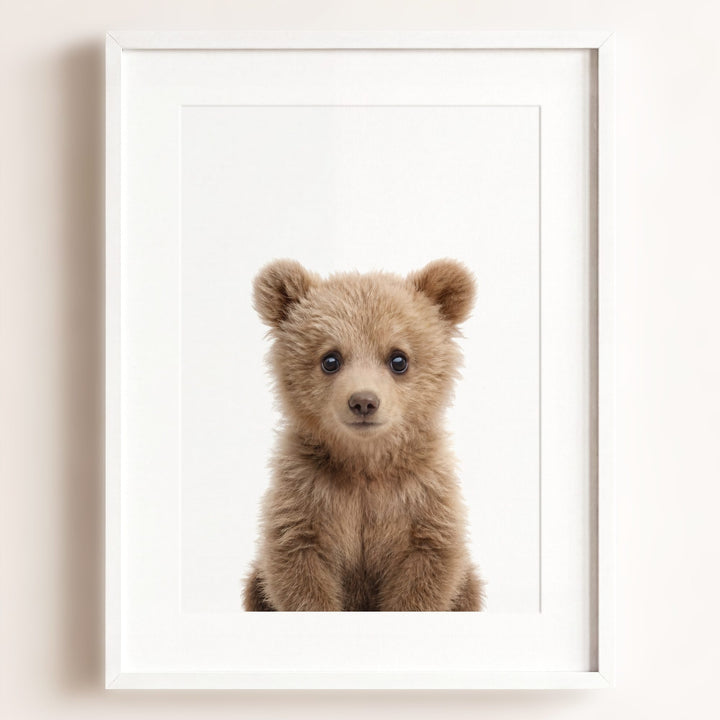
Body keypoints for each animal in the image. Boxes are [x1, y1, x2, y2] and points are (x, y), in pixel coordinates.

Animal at [243, 258, 485, 611]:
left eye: (398, 359)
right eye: (330, 359)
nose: (363, 402)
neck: (364, 462)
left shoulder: (422, 498)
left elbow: (426, 570)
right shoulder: (306, 494)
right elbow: (299, 567)